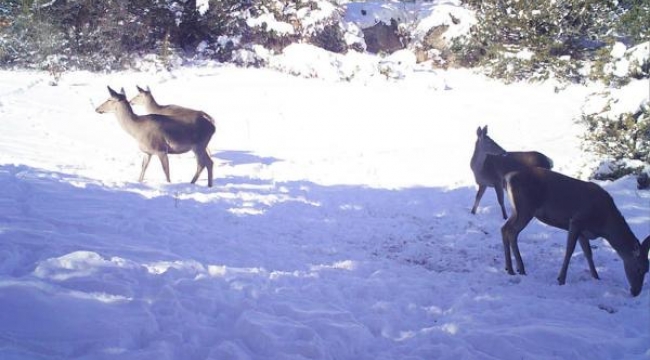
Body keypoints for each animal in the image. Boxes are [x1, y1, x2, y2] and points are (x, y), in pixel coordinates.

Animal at [492, 154, 648, 296]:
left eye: (647, 269)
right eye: (639, 268)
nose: (636, 292)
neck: (604, 223)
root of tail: (508, 177)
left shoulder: (584, 231)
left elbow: (588, 253)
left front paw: (596, 277)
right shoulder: (576, 221)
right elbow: (569, 251)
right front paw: (561, 279)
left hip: (516, 209)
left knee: (504, 229)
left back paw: (510, 268)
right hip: (525, 207)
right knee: (512, 232)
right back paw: (520, 269)